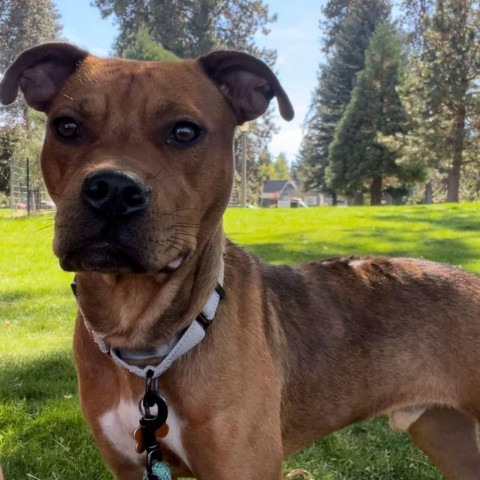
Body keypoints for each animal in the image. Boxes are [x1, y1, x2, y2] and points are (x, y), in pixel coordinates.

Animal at [2, 43, 480, 478]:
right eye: (66, 126)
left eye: (184, 132)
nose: (112, 190)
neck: (142, 336)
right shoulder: (129, 467)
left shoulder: (240, 465)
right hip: (447, 434)